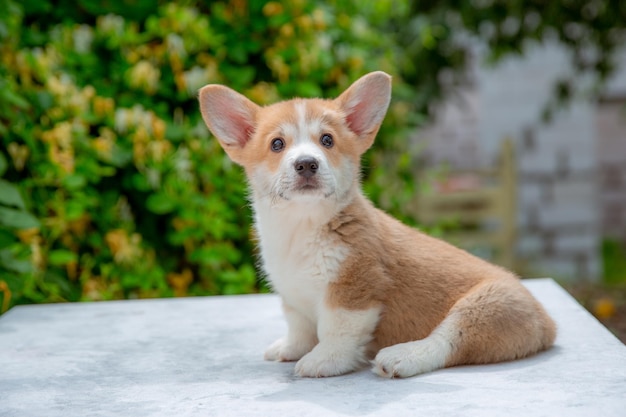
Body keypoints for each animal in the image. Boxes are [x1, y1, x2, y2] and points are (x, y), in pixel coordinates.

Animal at [197, 71, 552, 376]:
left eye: (327, 140)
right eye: (276, 144)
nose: (307, 164)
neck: (300, 226)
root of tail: (548, 324)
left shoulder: (354, 290)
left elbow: (336, 331)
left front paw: (323, 361)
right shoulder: (292, 296)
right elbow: (299, 326)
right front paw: (290, 348)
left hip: (484, 307)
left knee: (448, 341)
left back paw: (402, 356)